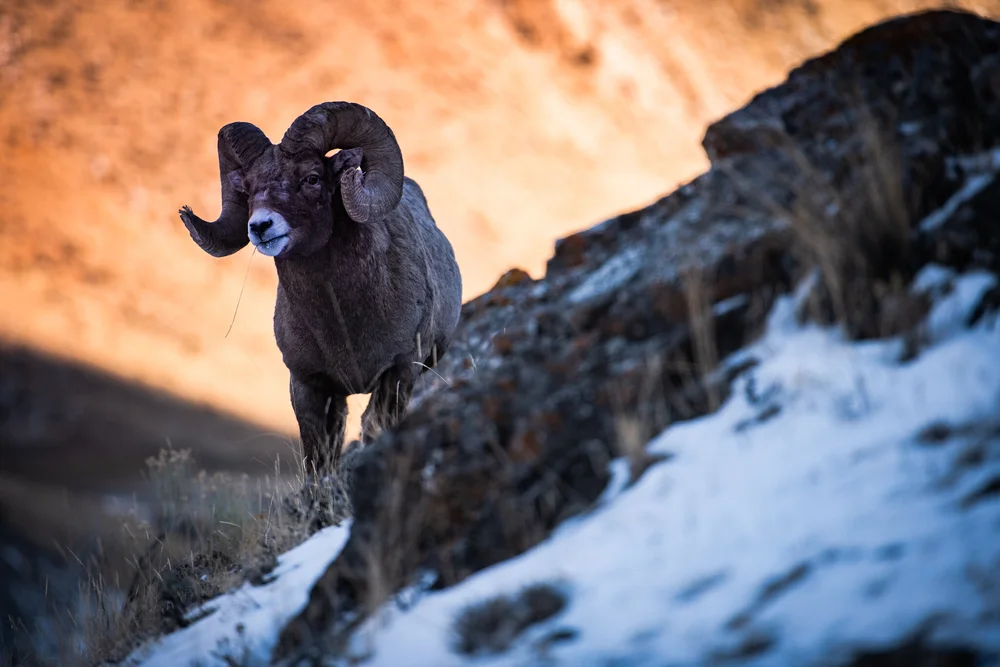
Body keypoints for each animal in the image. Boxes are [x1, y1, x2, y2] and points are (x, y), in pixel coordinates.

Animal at [178, 102, 463, 475]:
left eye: (312, 178)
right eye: (249, 188)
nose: (261, 227)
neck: (344, 325)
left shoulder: (399, 371)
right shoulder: (309, 386)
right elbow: (318, 461)